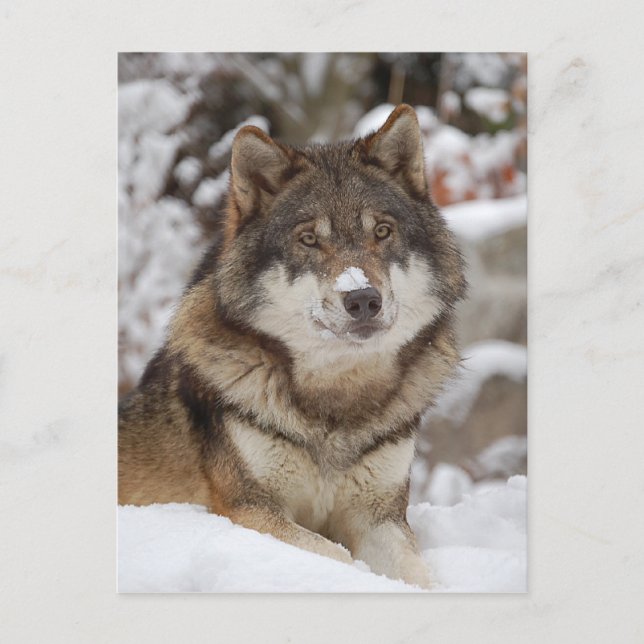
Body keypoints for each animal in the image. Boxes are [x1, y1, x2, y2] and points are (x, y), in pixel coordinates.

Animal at [118, 104, 466, 589]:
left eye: (381, 231)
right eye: (309, 239)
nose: (363, 298)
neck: (335, 404)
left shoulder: (380, 518)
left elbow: (418, 576)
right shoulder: (249, 510)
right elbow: (336, 557)